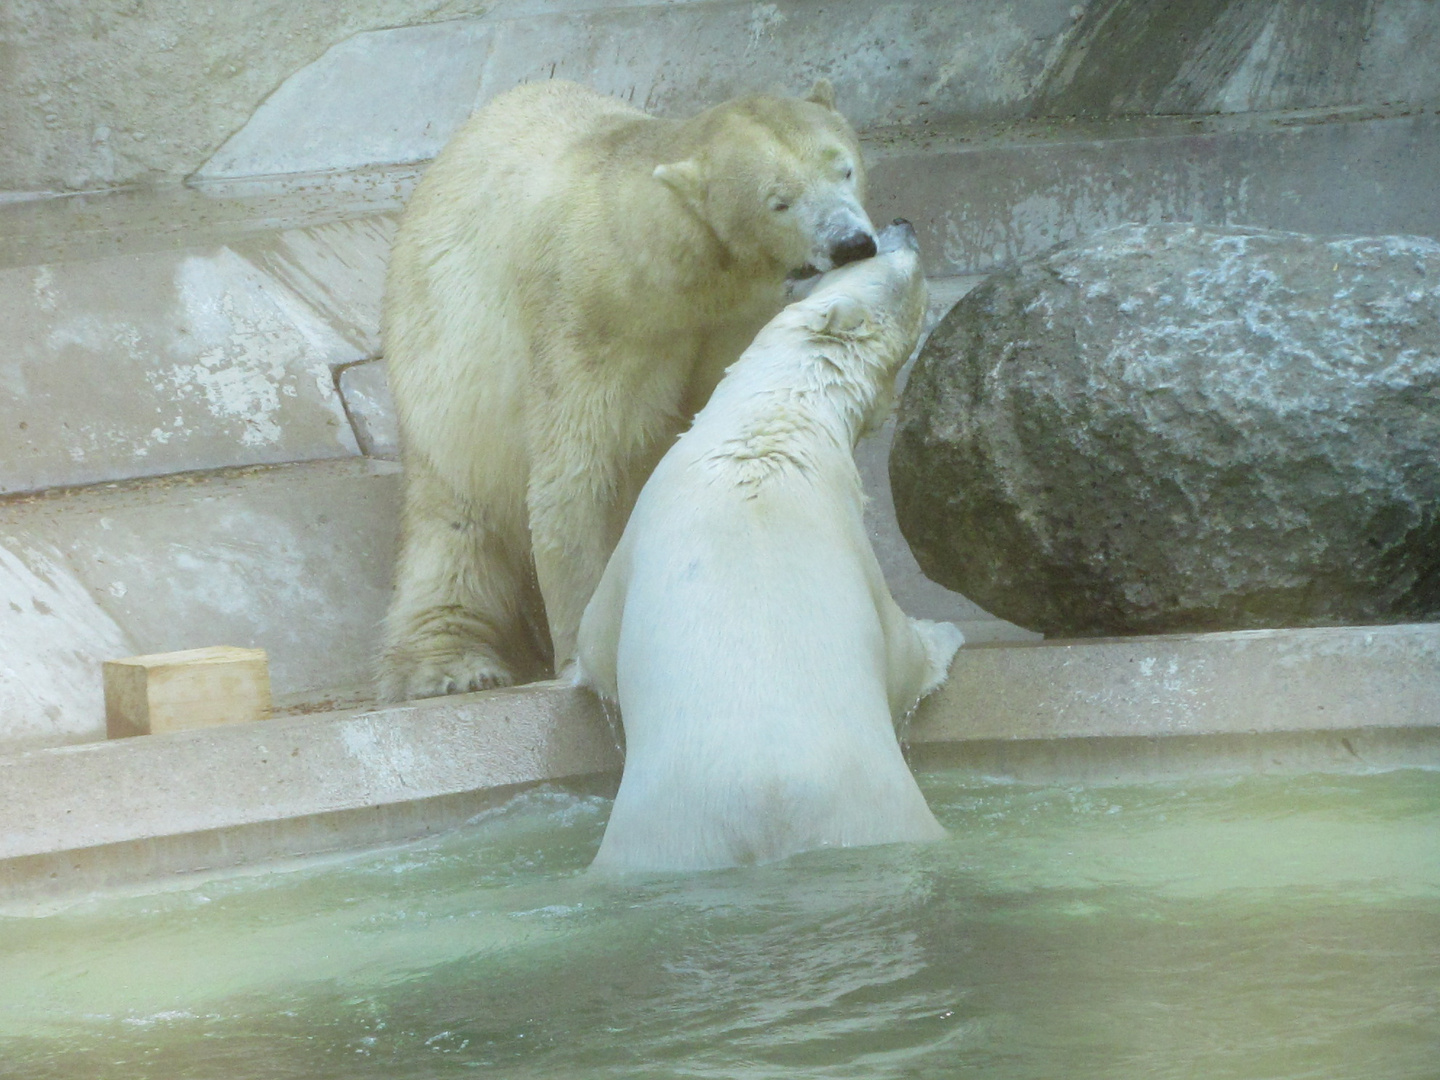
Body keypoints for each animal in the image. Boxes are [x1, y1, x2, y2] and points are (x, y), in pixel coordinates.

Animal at [380, 76, 875, 702]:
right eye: (778, 200)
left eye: (844, 168)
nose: (852, 243)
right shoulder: (589, 318)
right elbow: (576, 475)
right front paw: (584, 657)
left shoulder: (734, 319)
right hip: (444, 393)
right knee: (454, 534)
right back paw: (452, 666)